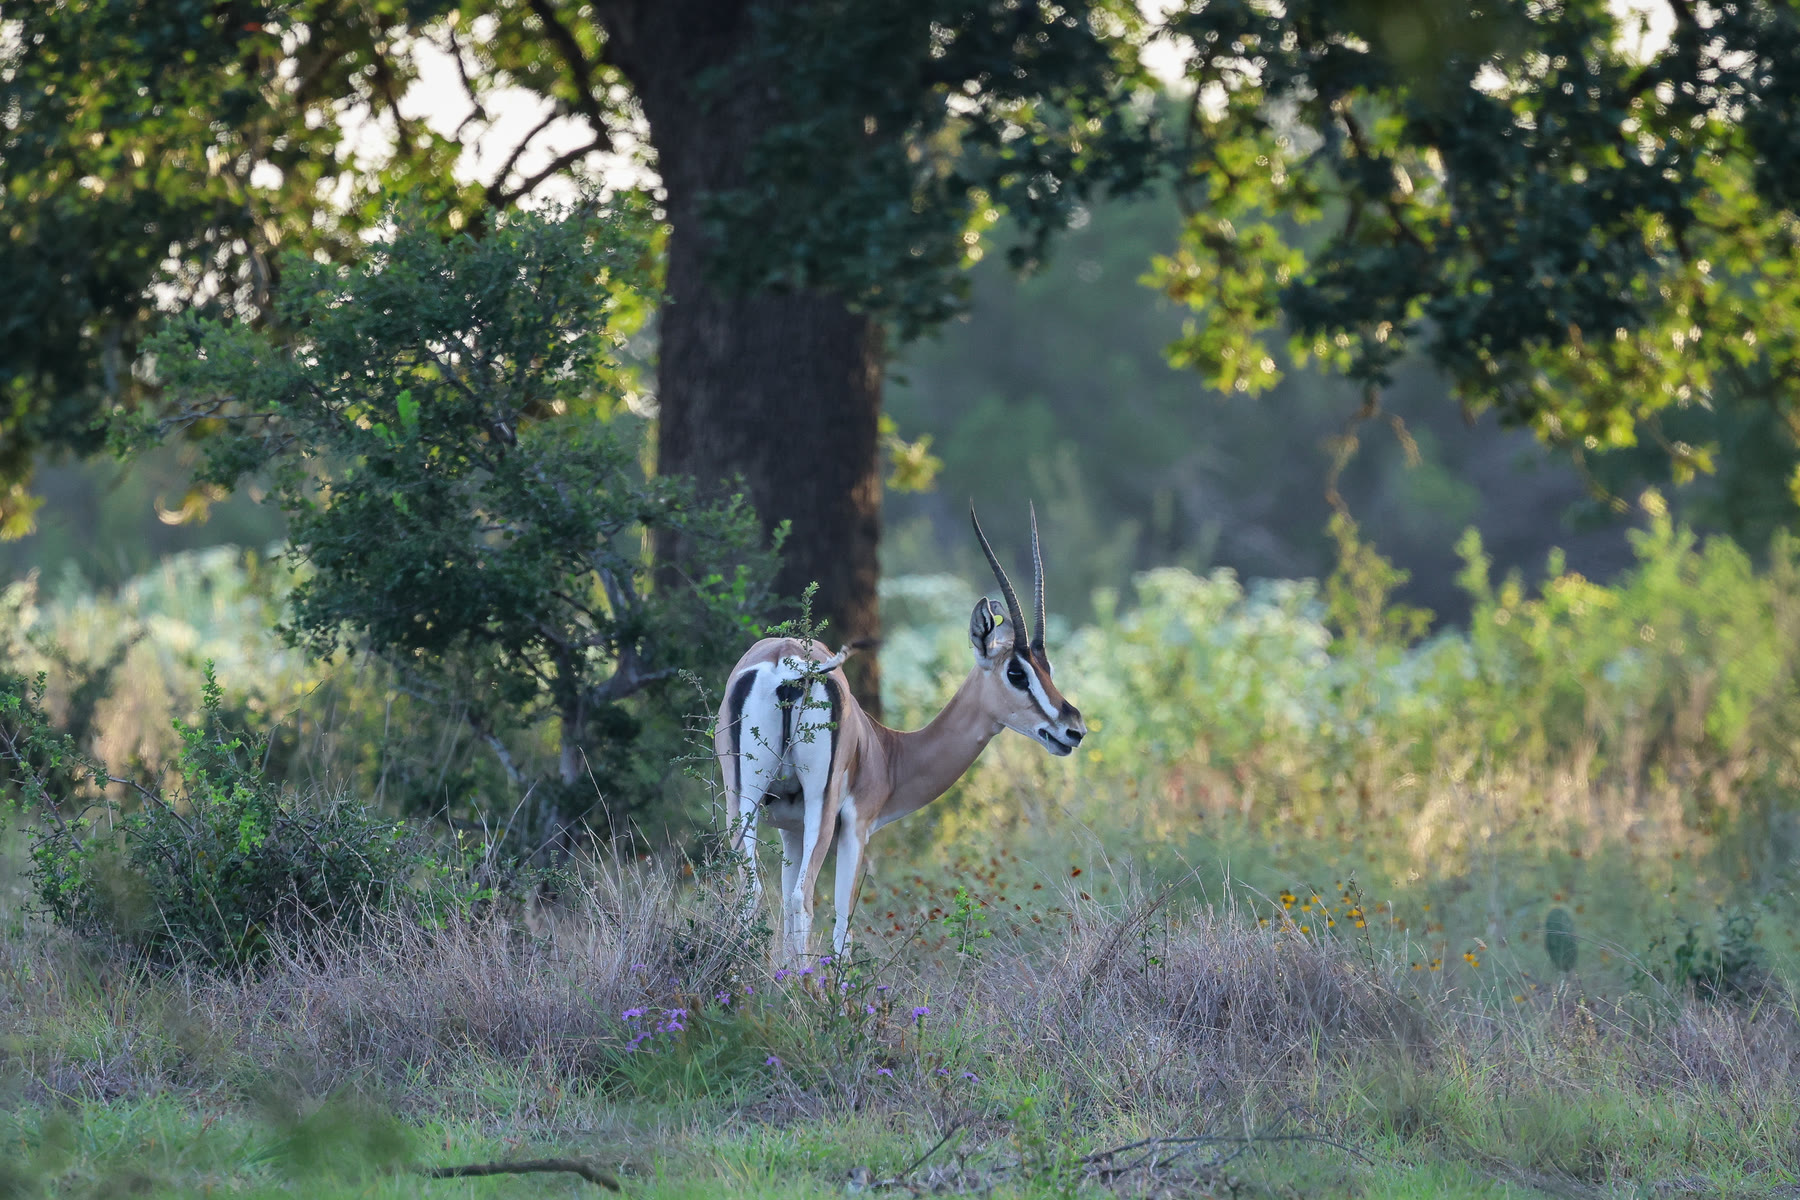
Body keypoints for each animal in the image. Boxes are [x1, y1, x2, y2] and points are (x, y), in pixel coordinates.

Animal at [715, 505, 1088, 964]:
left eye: (1046, 667)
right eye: (1016, 672)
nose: (1073, 729)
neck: (886, 751)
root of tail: (788, 663)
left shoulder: (790, 829)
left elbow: (783, 913)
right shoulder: (855, 827)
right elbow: (841, 928)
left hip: (742, 802)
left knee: (748, 897)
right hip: (819, 808)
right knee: (803, 900)